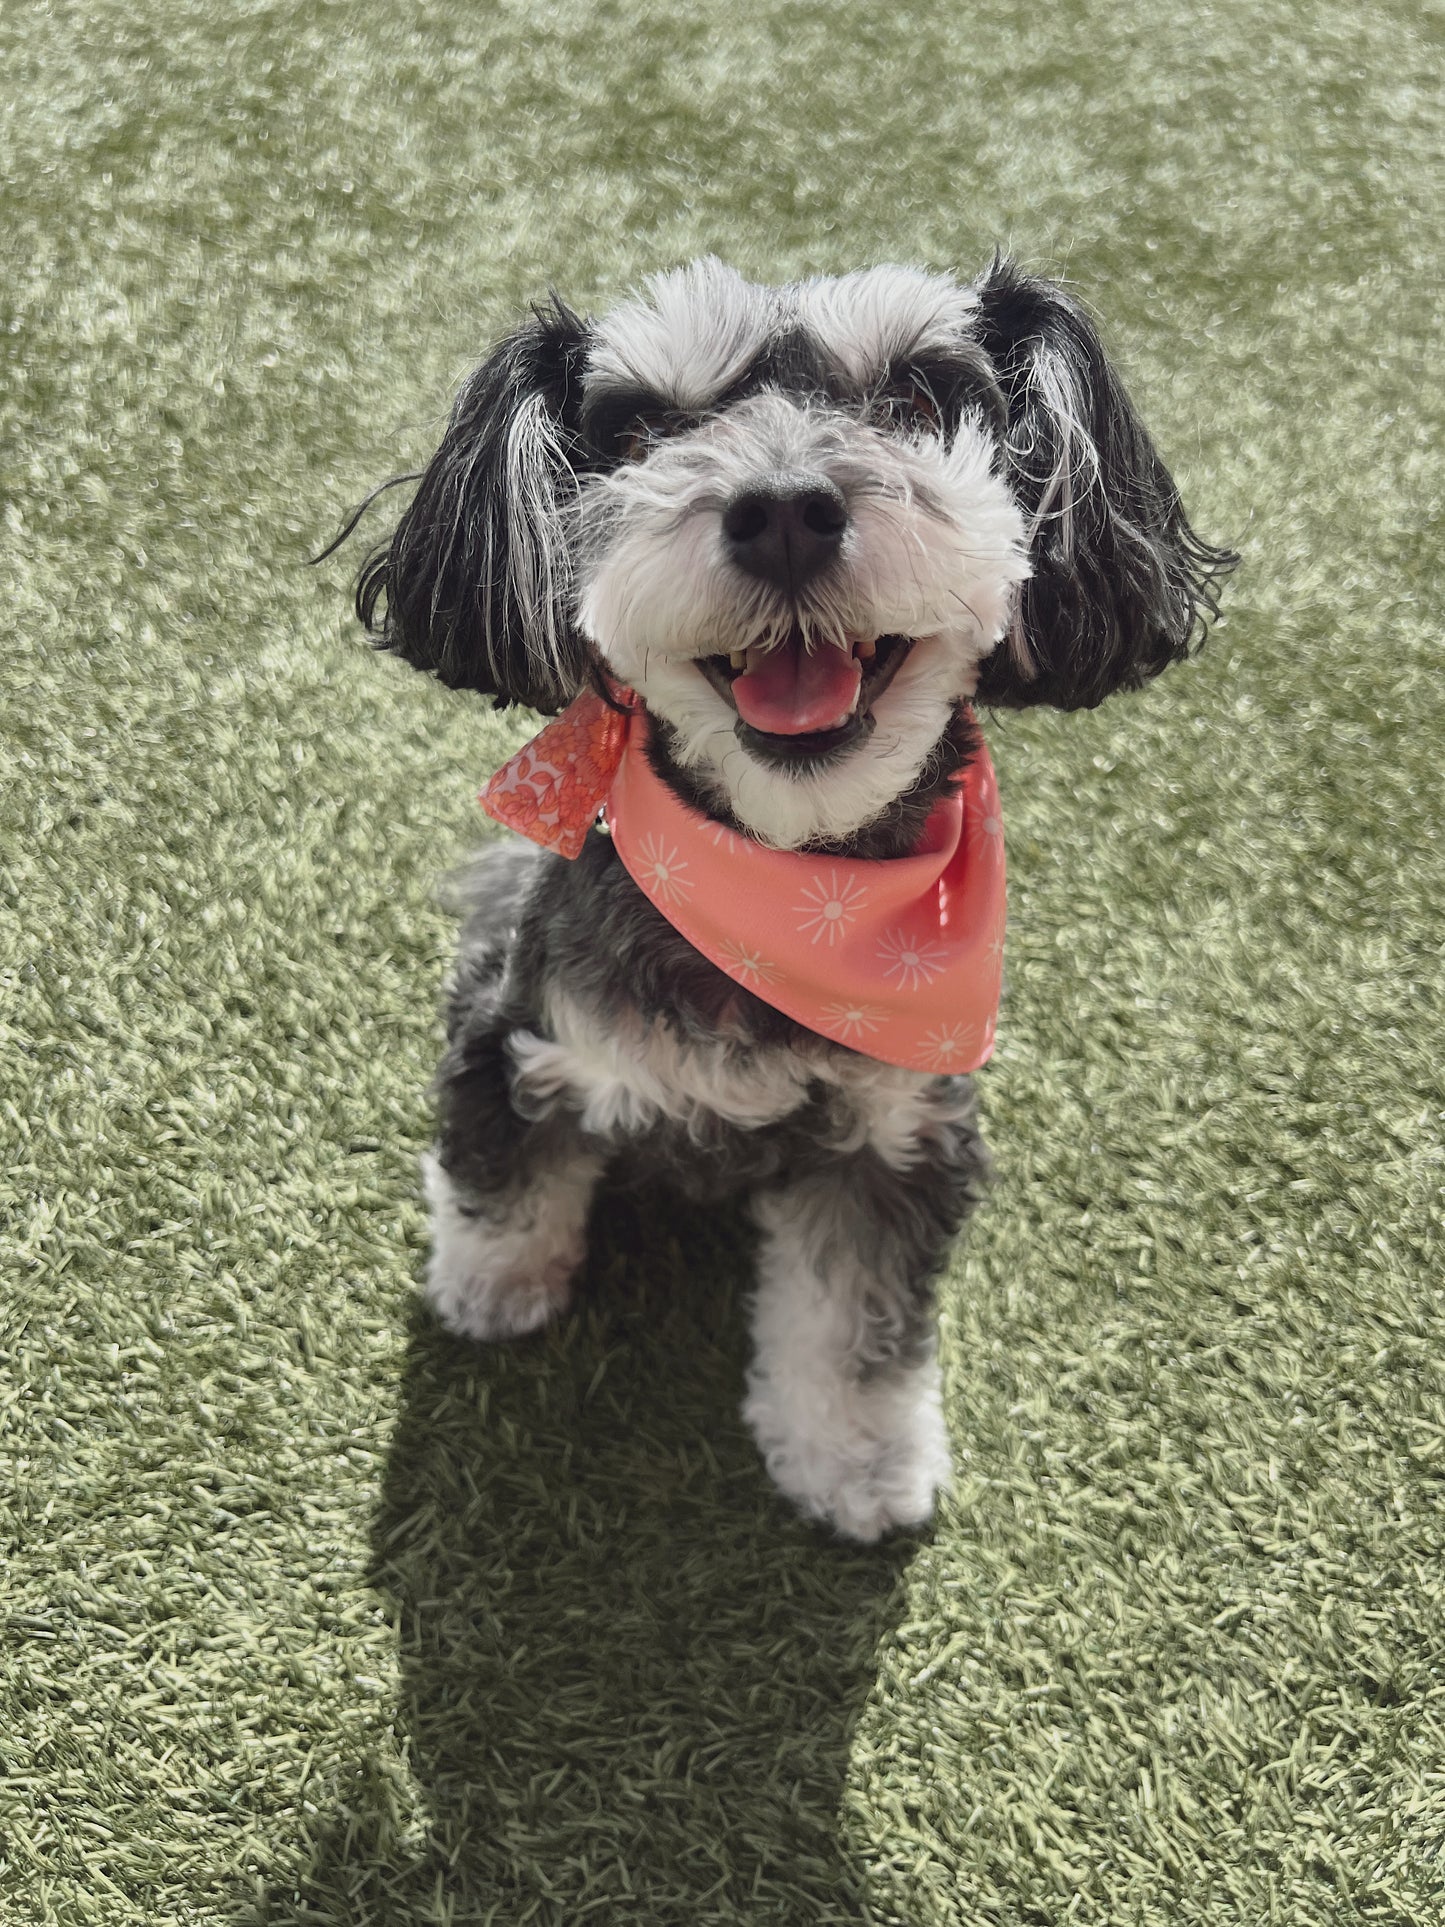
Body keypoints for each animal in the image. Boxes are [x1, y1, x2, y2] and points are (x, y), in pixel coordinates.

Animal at [348, 260, 1233, 1549]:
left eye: (915, 398)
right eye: (641, 430)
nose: (780, 510)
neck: (784, 882)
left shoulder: (897, 1135)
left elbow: (858, 1327)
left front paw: (860, 1463)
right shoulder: (520, 1030)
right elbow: (504, 1170)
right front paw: (490, 1284)